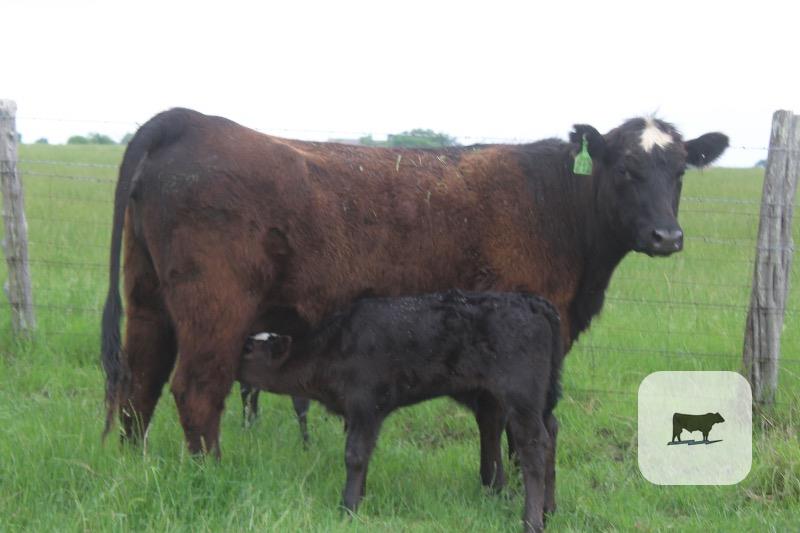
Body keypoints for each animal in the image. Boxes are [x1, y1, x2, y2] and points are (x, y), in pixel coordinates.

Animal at [100, 108, 728, 473]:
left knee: (138, 384)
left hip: (148, 297)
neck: (557, 205)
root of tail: (190, 119)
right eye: (624, 168)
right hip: (215, 309)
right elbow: (510, 420)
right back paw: (209, 477)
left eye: (679, 172)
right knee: (196, 390)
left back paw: (133, 470)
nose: (667, 236)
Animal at [238, 290, 563, 533]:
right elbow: (365, 454)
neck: (336, 344)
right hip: (534, 395)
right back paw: (549, 511)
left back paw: (531, 522)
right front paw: (361, 498)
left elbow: (355, 455)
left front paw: (347, 508)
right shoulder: (362, 413)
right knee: (551, 430)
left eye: (248, 349)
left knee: (533, 445)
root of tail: (534, 303)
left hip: (520, 394)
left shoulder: (366, 404)